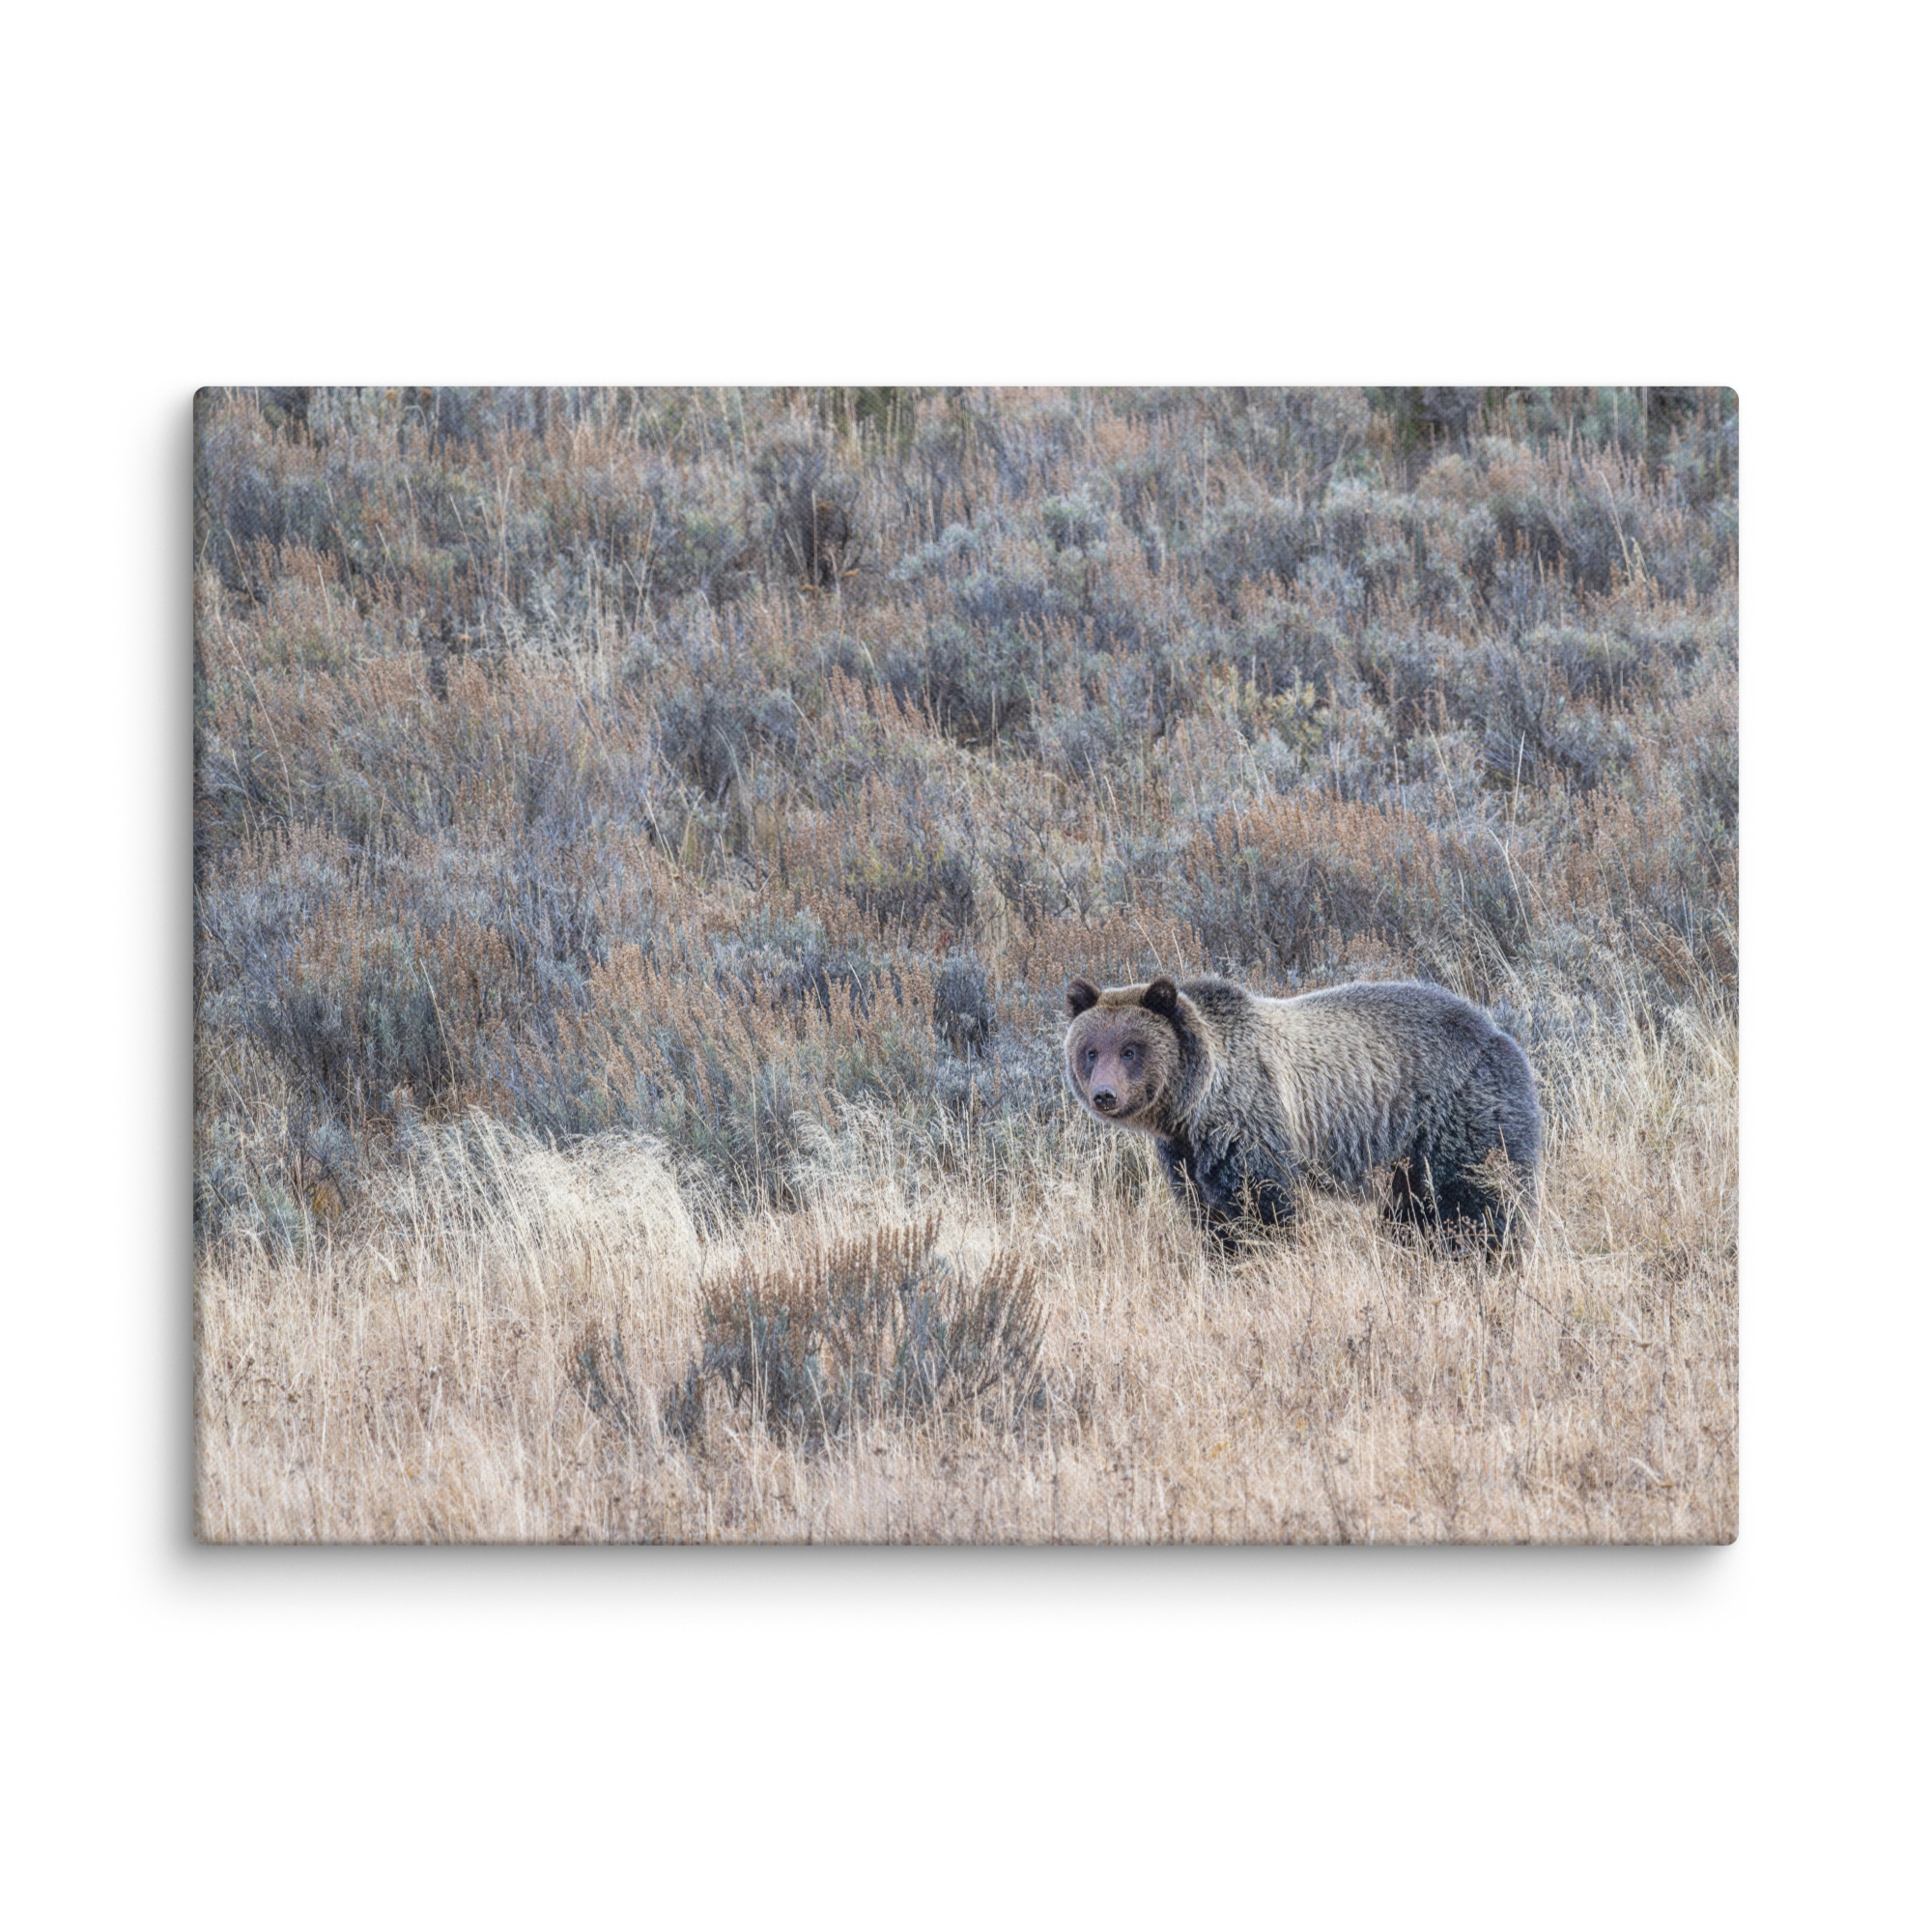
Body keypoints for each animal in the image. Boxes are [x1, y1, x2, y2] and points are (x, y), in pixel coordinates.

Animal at [1064, 973, 1541, 1250]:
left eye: (1130, 1050)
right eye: (1091, 1051)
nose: (1104, 1095)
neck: (1193, 1104)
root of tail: (1500, 1034)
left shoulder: (1250, 1122)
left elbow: (1264, 1206)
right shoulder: (1186, 1154)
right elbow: (1208, 1213)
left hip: (1459, 1117)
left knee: (1478, 1201)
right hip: (1408, 1158)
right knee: (1414, 1212)